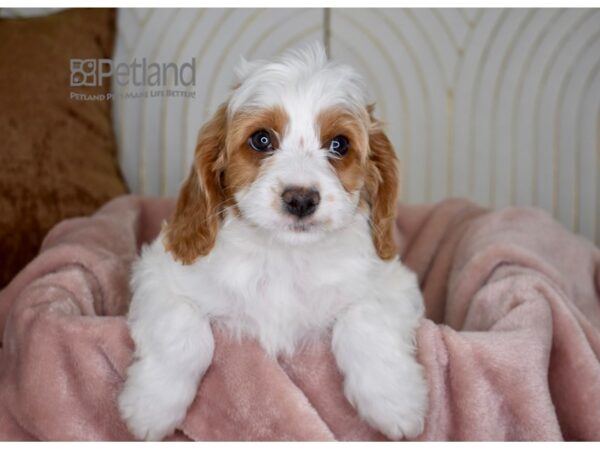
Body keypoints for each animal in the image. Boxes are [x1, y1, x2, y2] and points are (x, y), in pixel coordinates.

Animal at [118, 44, 426, 442]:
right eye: (262, 140)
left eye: (339, 145)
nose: (301, 199)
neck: (284, 255)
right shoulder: (158, 274)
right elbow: (185, 329)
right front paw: (151, 406)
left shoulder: (394, 281)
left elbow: (365, 318)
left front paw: (395, 402)